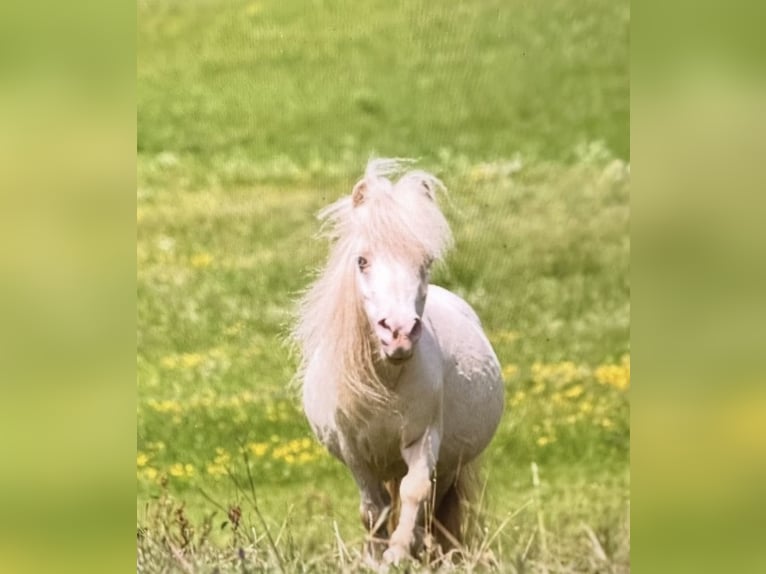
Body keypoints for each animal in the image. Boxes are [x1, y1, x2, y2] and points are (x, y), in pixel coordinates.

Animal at [293, 159, 504, 564]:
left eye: (426, 261)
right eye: (362, 261)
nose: (400, 332)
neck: (385, 379)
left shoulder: (424, 440)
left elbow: (413, 493)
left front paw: (398, 553)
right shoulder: (354, 452)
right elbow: (373, 510)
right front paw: (376, 559)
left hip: (448, 465)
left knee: (432, 510)